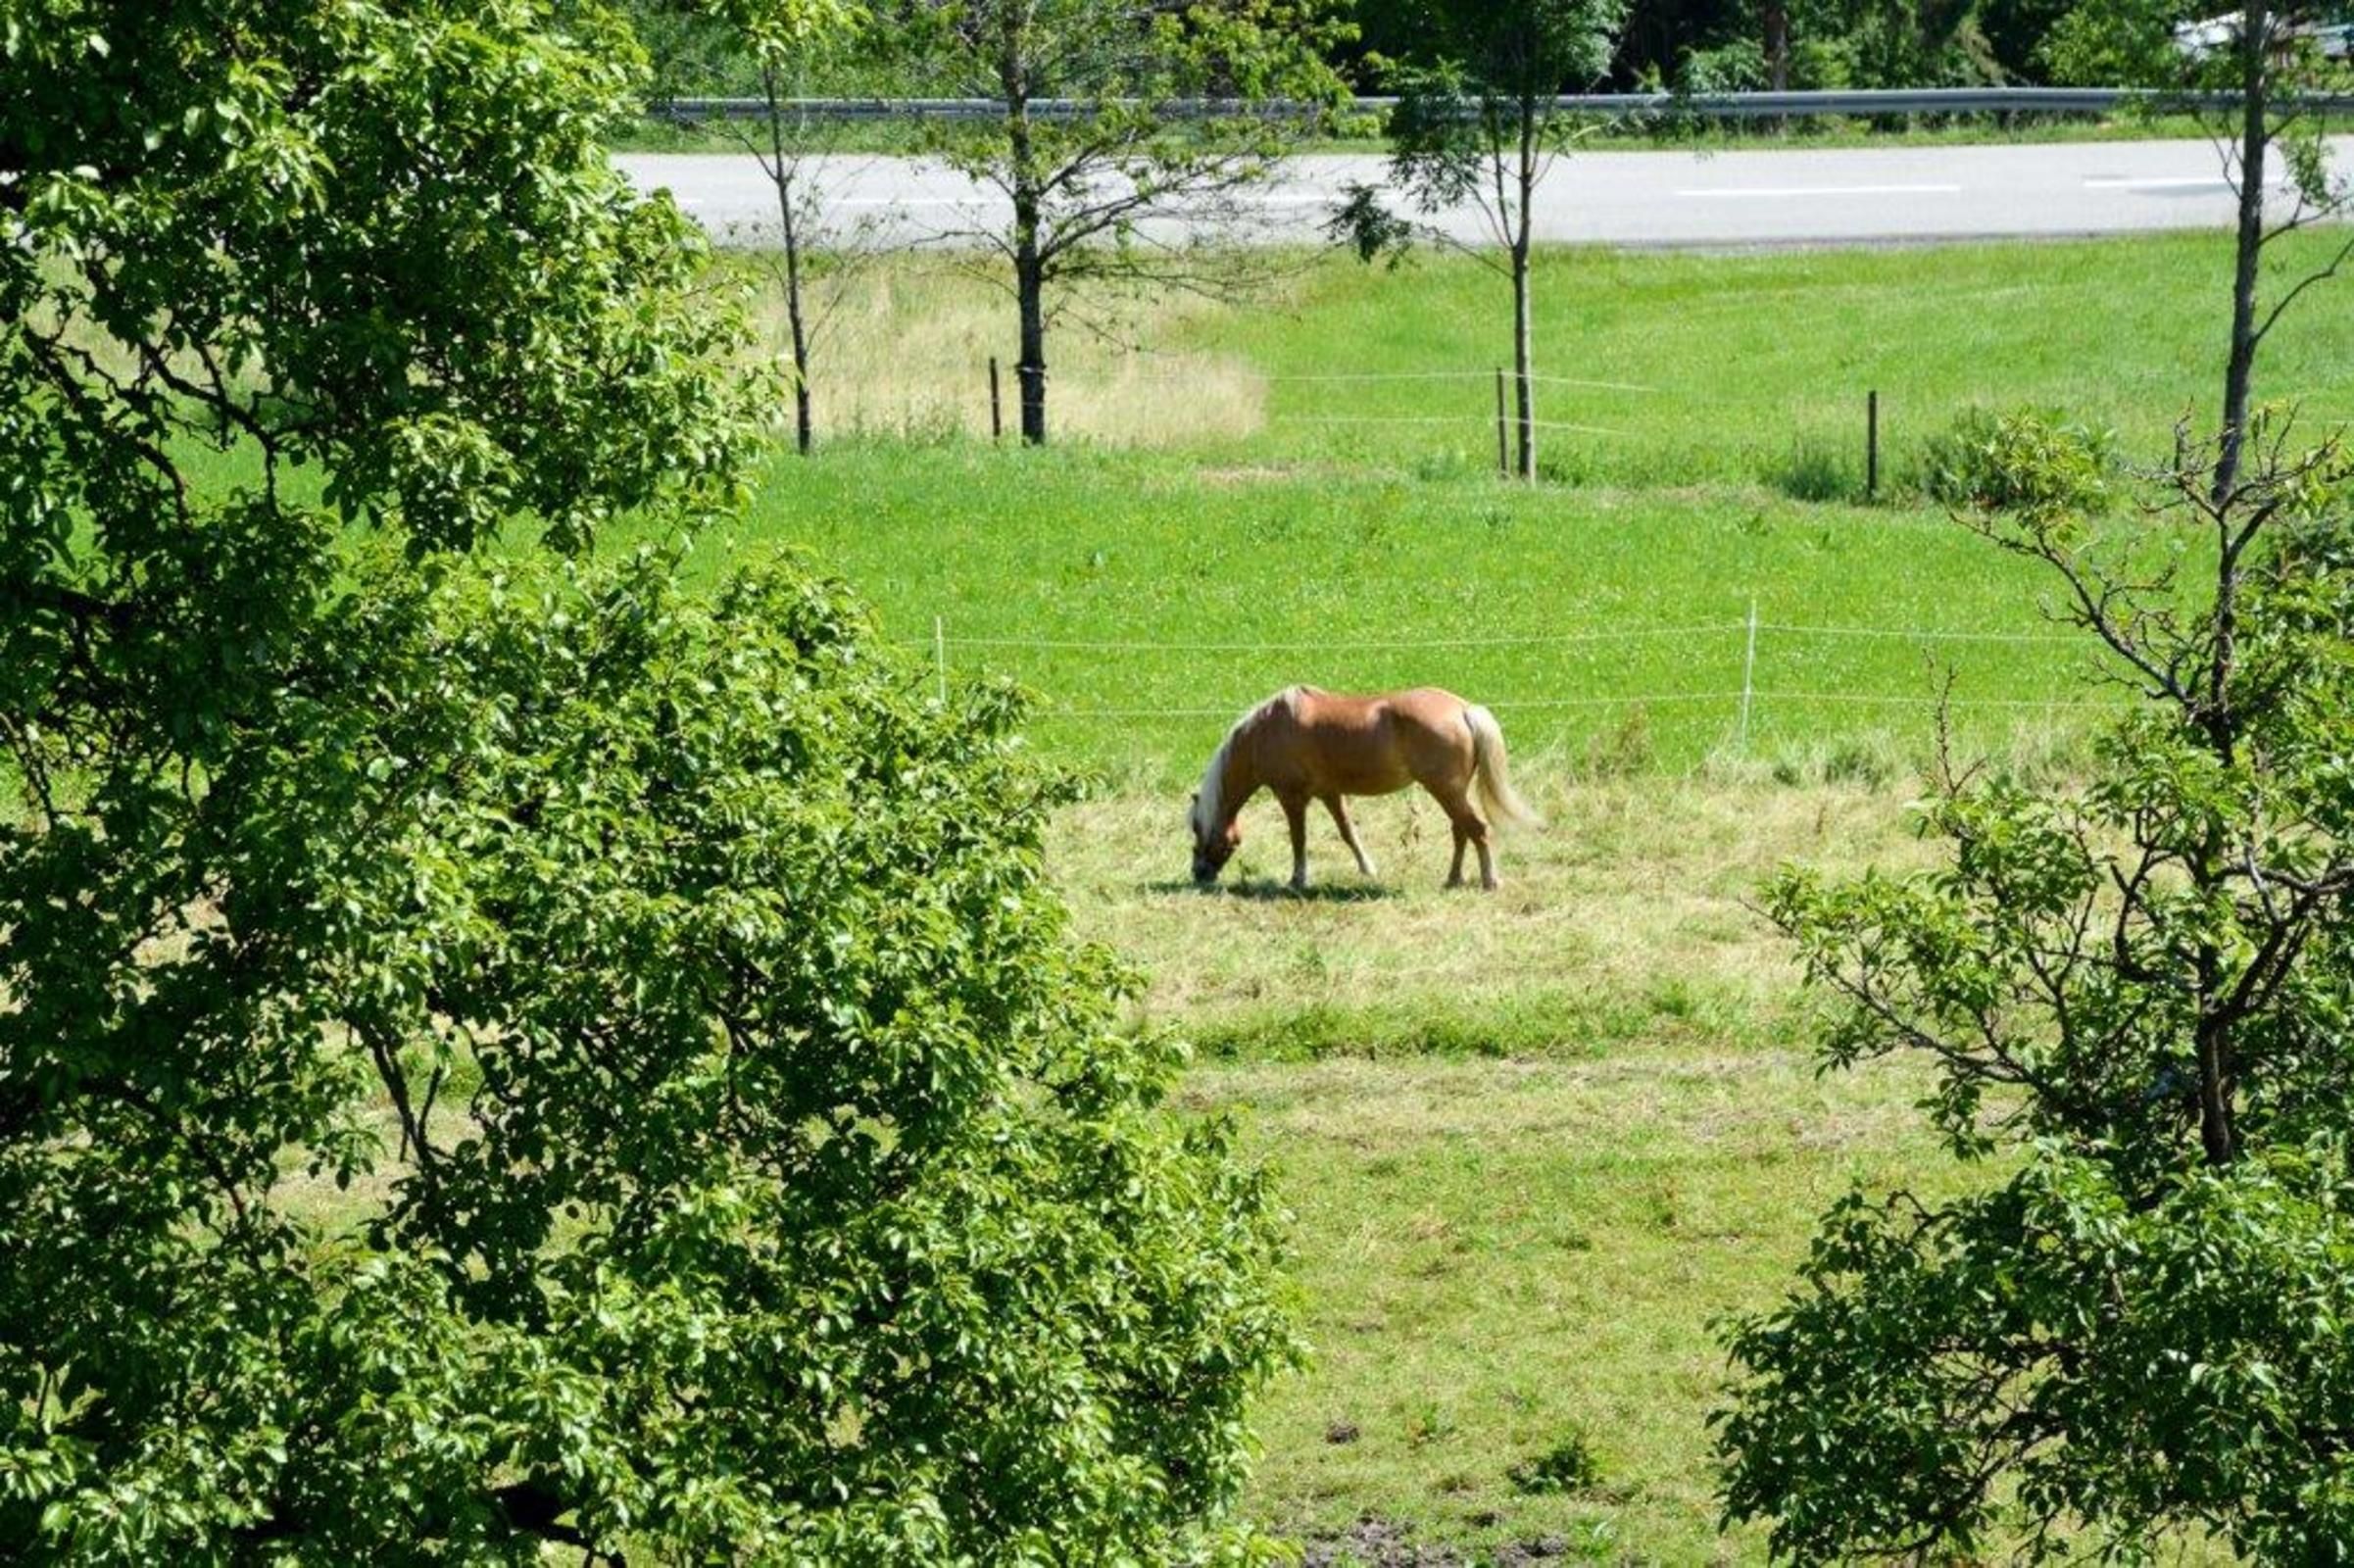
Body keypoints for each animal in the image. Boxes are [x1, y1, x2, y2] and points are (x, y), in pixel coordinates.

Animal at [1187, 686, 1541, 892]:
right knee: (1461, 832)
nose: (1199, 874)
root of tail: (1464, 709)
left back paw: (1490, 881)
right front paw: (1368, 869)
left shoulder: (1292, 797)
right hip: (1452, 793)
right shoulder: (1330, 793)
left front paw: (1297, 880)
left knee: (1477, 830)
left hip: (1446, 791)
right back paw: (1453, 879)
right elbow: (1347, 832)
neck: (1267, 731)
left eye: (1197, 831)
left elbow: (1299, 840)